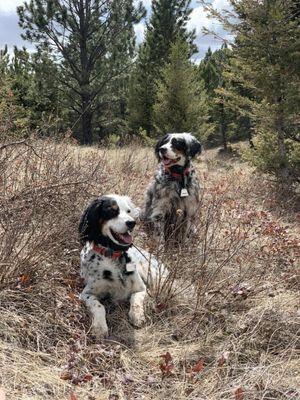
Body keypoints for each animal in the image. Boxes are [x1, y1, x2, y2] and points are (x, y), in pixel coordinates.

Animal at [77, 194, 162, 338]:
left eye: (128, 211)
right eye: (112, 210)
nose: (132, 223)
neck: (112, 254)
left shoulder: (141, 288)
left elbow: (135, 299)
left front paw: (137, 316)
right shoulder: (86, 294)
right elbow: (99, 306)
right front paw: (99, 328)